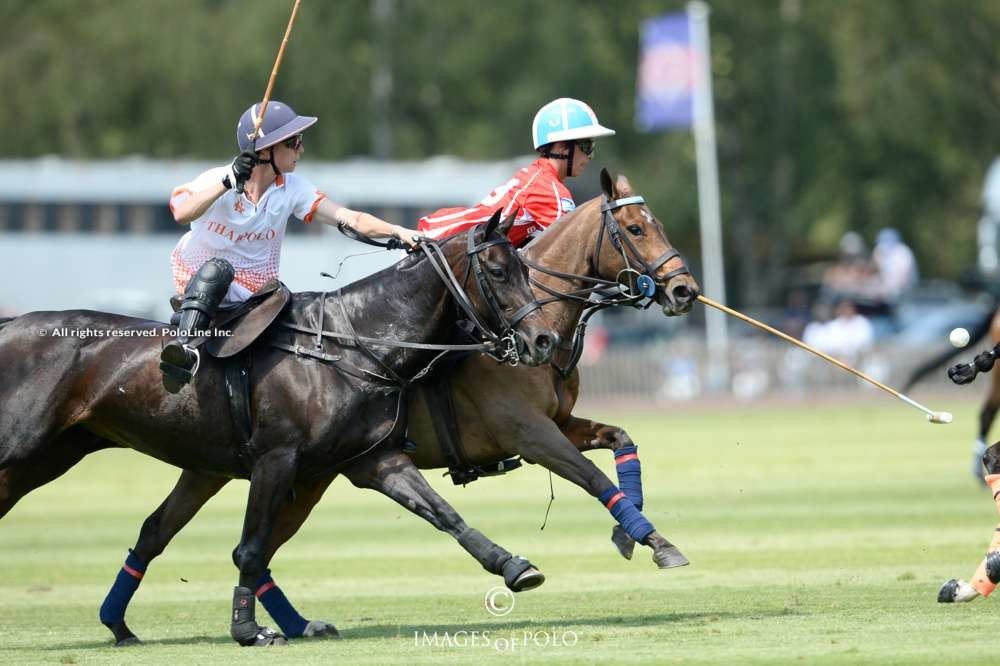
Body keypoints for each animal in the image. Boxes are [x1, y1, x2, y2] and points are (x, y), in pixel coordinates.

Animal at [0, 215, 560, 644]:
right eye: (497, 270)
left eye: (524, 266)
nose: (544, 340)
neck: (354, 345)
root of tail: (10, 325)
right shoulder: (277, 460)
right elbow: (250, 549)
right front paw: (247, 630)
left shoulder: (372, 461)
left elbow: (443, 513)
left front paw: (513, 566)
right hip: (22, 452)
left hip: (63, 454)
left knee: (154, 531)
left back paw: (121, 624)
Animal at [90, 169, 704, 640]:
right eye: (635, 228)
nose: (683, 291)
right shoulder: (529, 433)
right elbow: (592, 479)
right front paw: (658, 544)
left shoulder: (560, 422)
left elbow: (621, 441)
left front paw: (636, 537)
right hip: (278, 468)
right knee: (237, 544)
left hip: (263, 471)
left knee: (185, 535)